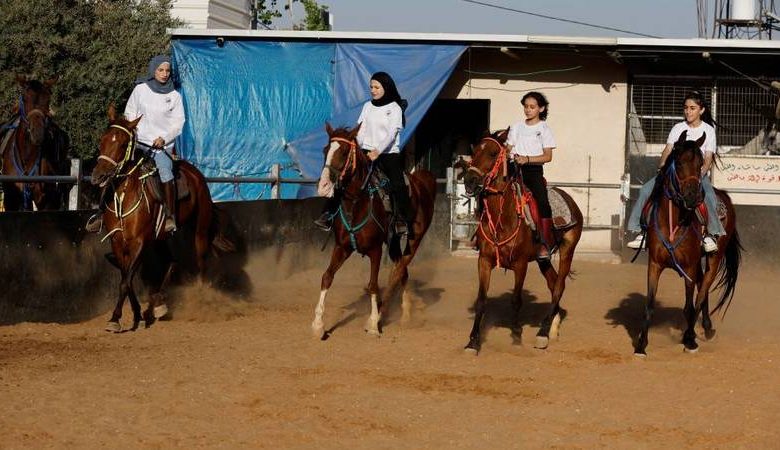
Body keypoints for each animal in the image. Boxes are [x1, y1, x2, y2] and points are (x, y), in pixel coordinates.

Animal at [1, 75, 69, 211]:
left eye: (48, 100)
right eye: (24, 98)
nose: (37, 133)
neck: (27, 157)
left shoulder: (46, 200)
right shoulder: (11, 199)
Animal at [90, 104, 232, 330]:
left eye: (122, 144)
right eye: (103, 140)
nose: (98, 176)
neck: (125, 193)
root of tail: (195, 174)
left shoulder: (139, 242)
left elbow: (125, 281)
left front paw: (115, 318)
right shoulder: (118, 241)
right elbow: (127, 278)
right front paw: (138, 314)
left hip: (200, 230)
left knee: (201, 263)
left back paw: (200, 298)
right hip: (160, 239)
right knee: (171, 261)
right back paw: (158, 304)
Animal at [314, 123, 442, 338]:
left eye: (344, 151)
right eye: (325, 150)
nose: (323, 186)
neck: (357, 203)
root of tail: (422, 181)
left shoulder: (375, 250)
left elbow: (373, 285)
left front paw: (373, 324)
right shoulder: (342, 247)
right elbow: (327, 277)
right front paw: (317, 325)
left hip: (414, 238)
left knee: (399, 270)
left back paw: (387, 314)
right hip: (393, 241)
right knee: (401, 270)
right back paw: (404, 313)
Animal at [460, 130, 580, 356]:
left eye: (493, 153)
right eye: (474, 150)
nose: (470, 180)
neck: (503, 216)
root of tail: (569, 199)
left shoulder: (520, 264)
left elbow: (516, 300)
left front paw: (516, 336)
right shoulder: (484, 261)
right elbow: (482, 300)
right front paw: (472, 342)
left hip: (568, 249)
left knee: (559, 285)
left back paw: (542, 334)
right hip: (543, 259)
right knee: (553, 283)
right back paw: (552, 327)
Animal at [632, 132, 740, 356]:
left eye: (700, 164)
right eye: (679, 163)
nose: (693, 197)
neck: (673, 222)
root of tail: (724, 196)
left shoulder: (689, 266)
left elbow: (690, 306)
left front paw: (689, 341)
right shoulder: (654, 265)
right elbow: (649, 304)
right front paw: (641, 345)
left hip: (713, 259)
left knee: (702, 291)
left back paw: (694, 333)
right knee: (701, 289)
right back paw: (706, 327)